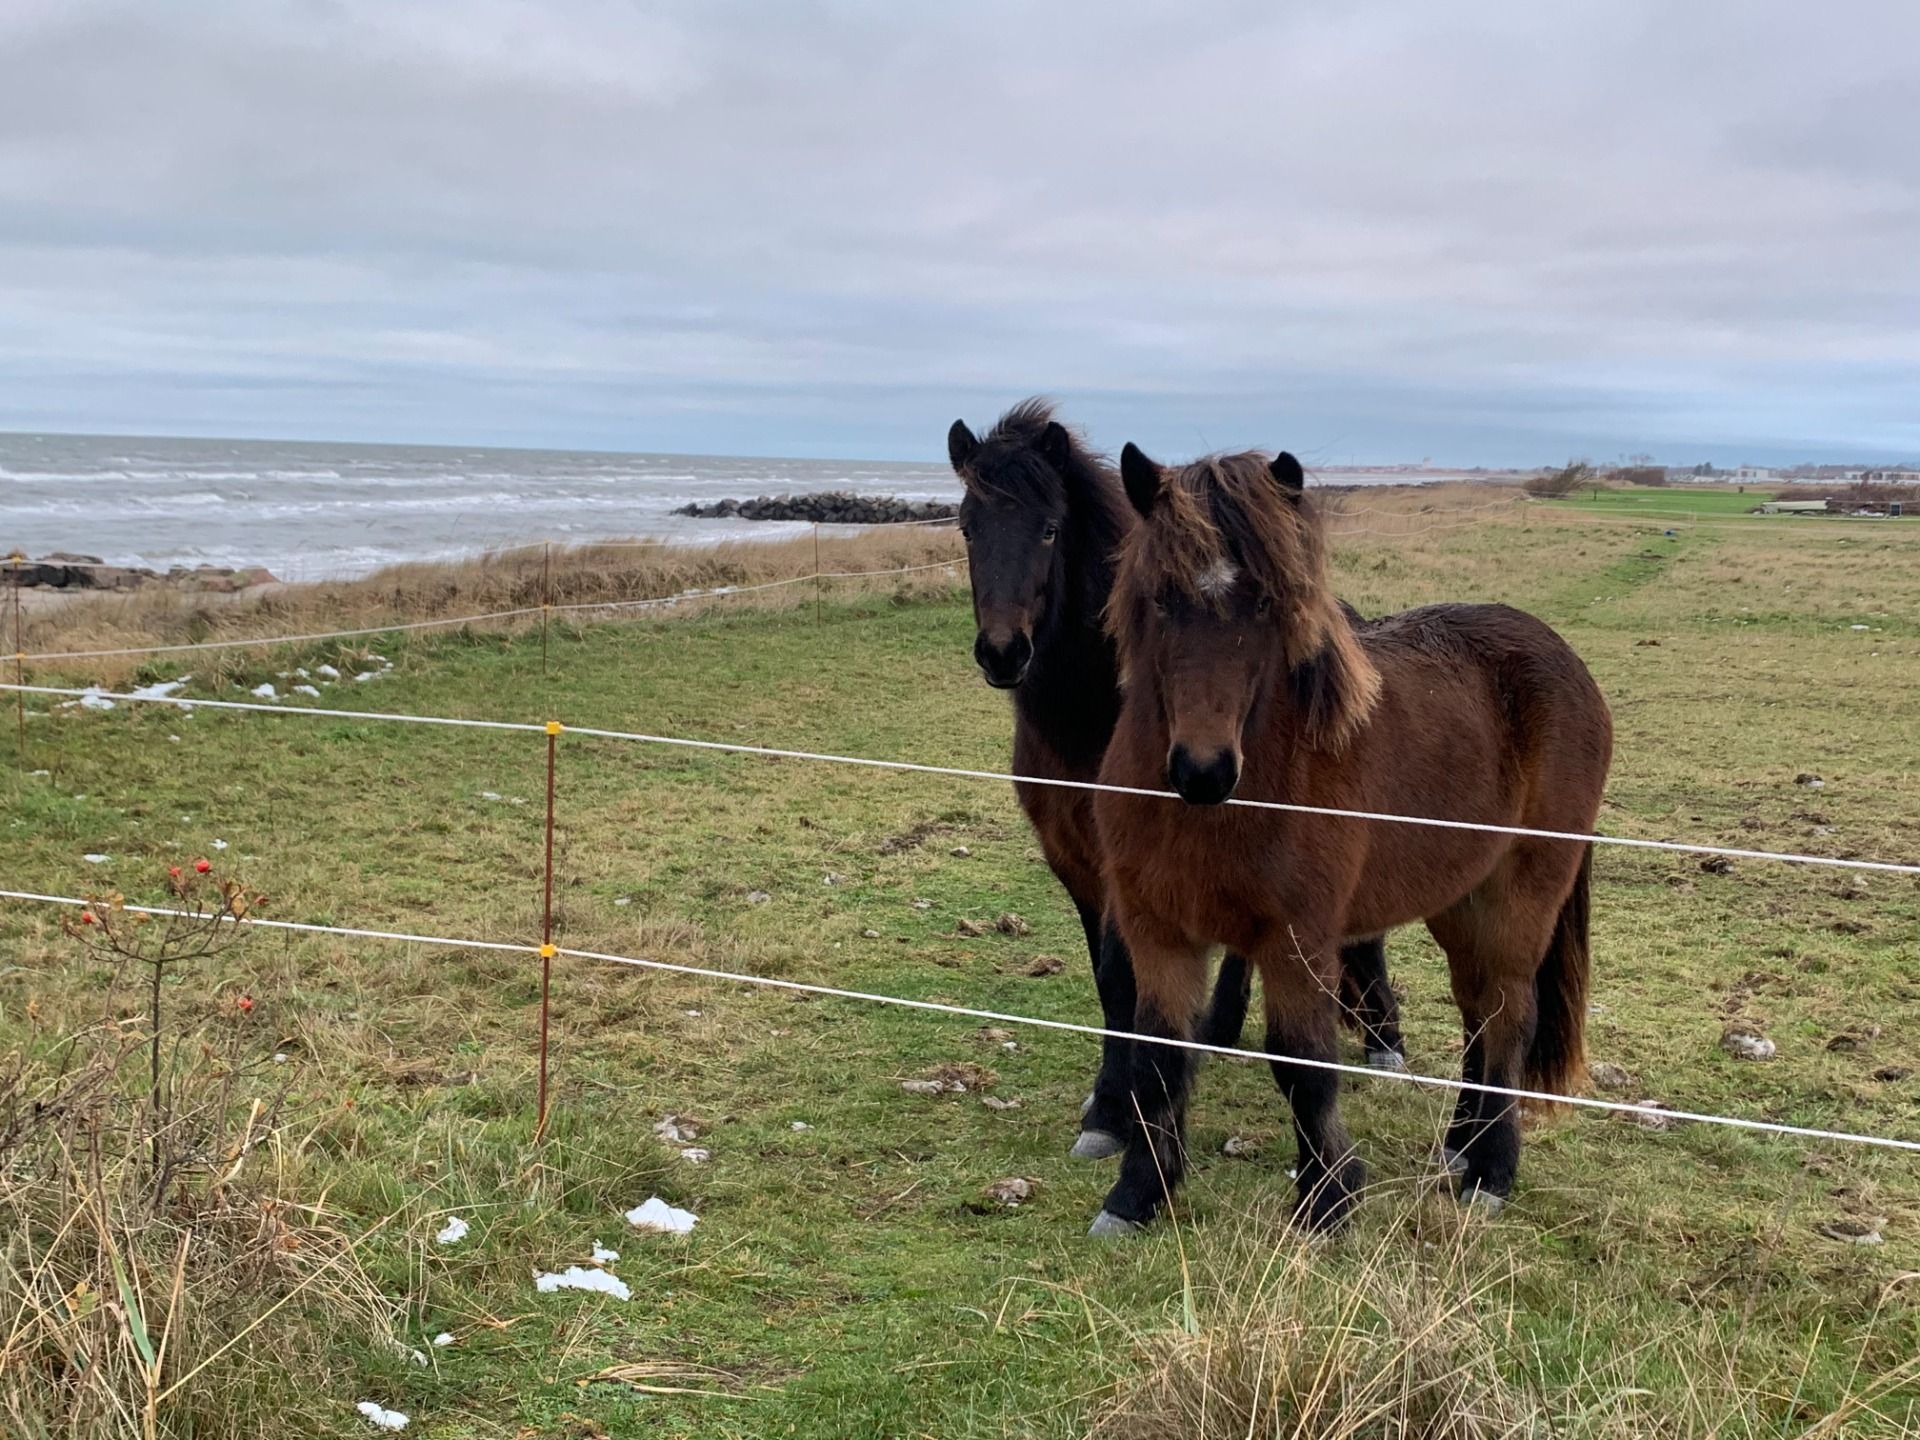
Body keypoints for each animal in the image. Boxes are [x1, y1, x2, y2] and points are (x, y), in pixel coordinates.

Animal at [948, 403, 1413, 1159]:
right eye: (966, 526)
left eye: (1049, 528)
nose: (1003, 652)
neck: (1091, 714)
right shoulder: (1075, 861)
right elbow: (1110, 981)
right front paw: (1112, 1102)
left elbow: (1125, 976)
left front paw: (1114, 1111)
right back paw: (1221, 1028)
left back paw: (1382, 1040)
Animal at [1090, 445, 1612, 1236]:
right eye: (1161, 597)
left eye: (1266, 604)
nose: (1204, 769)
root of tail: (1565, 660)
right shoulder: (1159, 932)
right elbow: (1158, 1061)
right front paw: (1138, 1194)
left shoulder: (1296, 940)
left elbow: (1302, 1065)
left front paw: (1329, 1199)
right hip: (1457, 900)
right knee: (1476, 1014)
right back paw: (1460, 1146)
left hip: (1521, 893)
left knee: (1508, 1017)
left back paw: (1491, 1171)